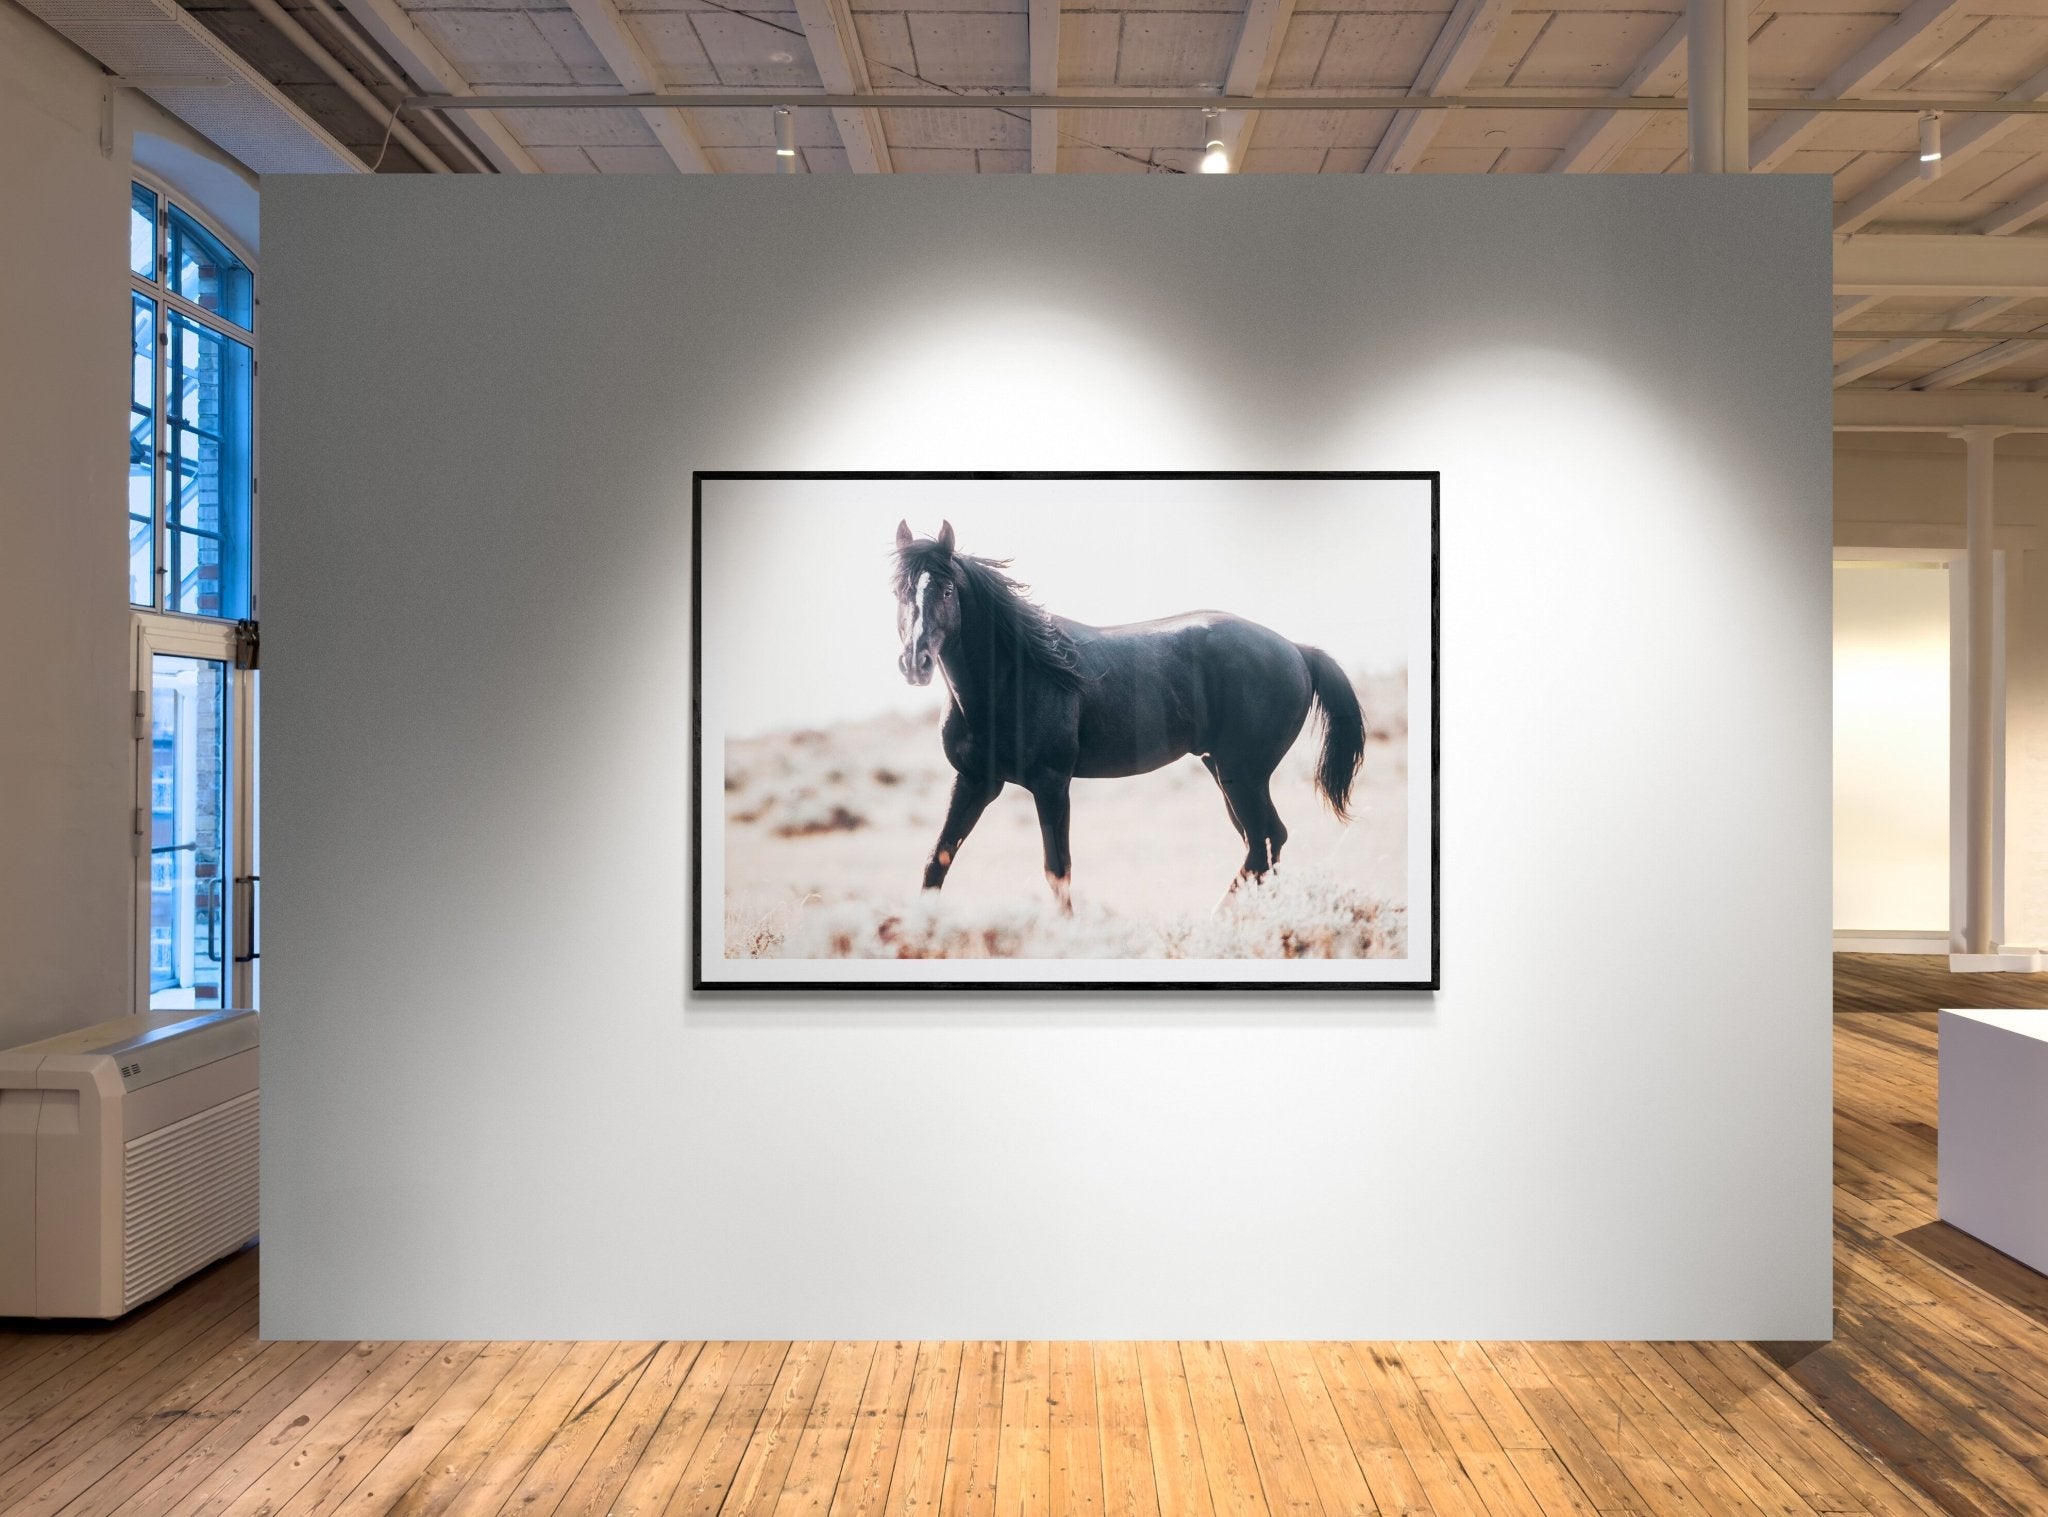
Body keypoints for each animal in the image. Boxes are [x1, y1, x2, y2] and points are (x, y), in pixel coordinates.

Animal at [892, 519, 1366, 913]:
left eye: (947, 591)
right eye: (900, 592)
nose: (916, 664)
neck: (1012, 676)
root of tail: (1297, 650)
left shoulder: (1051, 783)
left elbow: (1057, 871)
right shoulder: (975, 782)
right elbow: (936, 861)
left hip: (1242, 775)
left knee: (1265, 841)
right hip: (1225, 772)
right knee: (1262, 845)